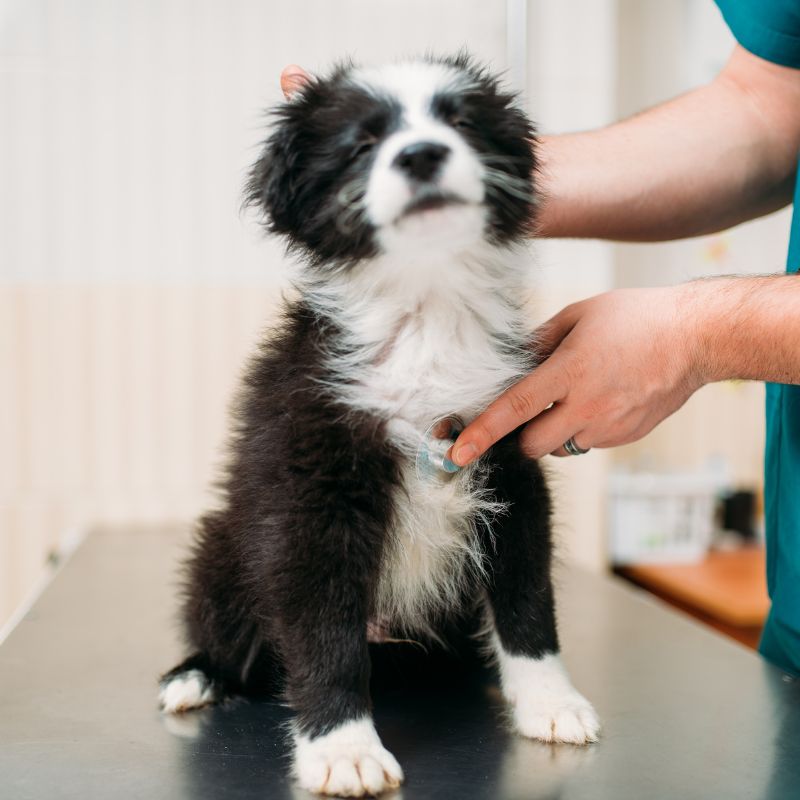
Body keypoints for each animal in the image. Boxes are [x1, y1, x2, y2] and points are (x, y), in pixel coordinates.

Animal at [161, 54, 600, 792]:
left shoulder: (509, 462)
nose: (422, 154)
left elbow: (527, 596)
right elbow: (323, 632)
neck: (424, 309)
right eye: (362, 145)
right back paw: (195, 677)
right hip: (222, 548)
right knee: (225, 629)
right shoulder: (311, 491)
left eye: (459, 122)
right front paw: (342, 748)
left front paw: (551, 699)